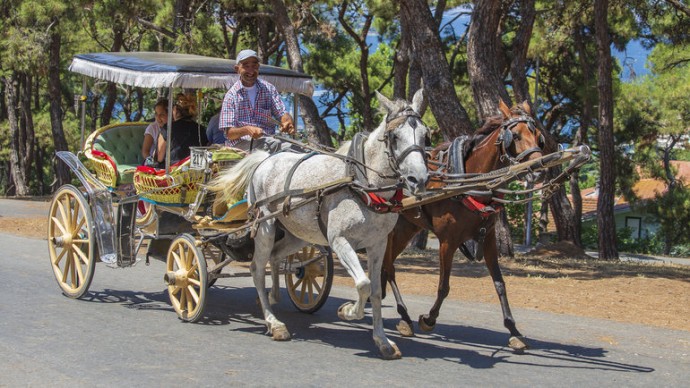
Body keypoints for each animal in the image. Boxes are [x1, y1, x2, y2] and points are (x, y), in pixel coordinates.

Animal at [211, 89, 424, 360]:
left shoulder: (378, 244)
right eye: (395, 137)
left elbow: (375, 291)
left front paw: (383, 341)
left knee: (276, 257)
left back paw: (272, 297)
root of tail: (264, 158)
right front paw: (348, 311)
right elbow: (363, 284)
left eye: (426, 135)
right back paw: (274, 323)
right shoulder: (340, 241)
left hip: (297, 234)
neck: (361, 184)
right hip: (265, 226)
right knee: (257, 269)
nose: (419, 179)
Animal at [382, 99, 544, 352]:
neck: (469, 182)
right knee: (388, 267)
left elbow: (500, 284)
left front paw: (514, 330)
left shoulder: (488, 239)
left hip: (406, 228)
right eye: (515, 136)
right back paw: (402, 315)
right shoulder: (448, 241)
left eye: (537, 135)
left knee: (385, 267)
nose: (538, 169)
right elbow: (444, 286)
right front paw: (428, 319)